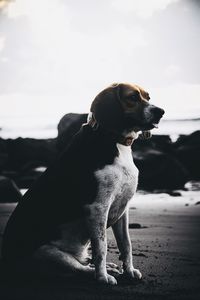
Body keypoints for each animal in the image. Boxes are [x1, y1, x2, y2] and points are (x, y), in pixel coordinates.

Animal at [1, 83, 164, 284]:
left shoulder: (123, 209)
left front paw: (129, 271)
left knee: (85, 262)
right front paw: (102, 278)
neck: (114, 139)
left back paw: (108, 267)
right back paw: (100, 273)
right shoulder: (97, 208)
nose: (161, 112)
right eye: (132, 97)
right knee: (80, 268)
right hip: (47, 252)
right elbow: (101, 247)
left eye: (148, 97)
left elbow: (126, 244)